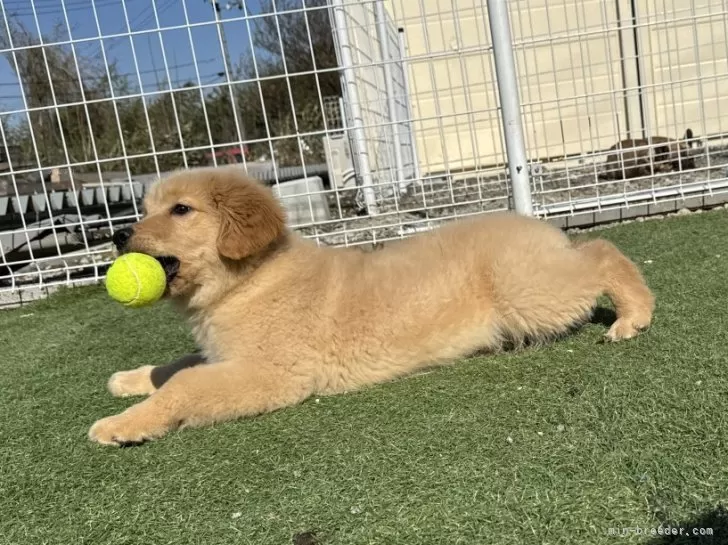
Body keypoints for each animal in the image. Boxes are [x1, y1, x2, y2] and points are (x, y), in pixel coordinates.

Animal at [88, 166, 656, 446]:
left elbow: (185, 385)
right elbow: (177, 366)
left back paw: (634, 315)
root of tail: (534, 223)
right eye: (145, 209)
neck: (248, 281)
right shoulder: (226, 357)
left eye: (181, 210)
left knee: (602, 252)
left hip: (530, 292)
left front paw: (121, 426)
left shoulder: (274, 373)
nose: (117, 236)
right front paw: (130, 379)